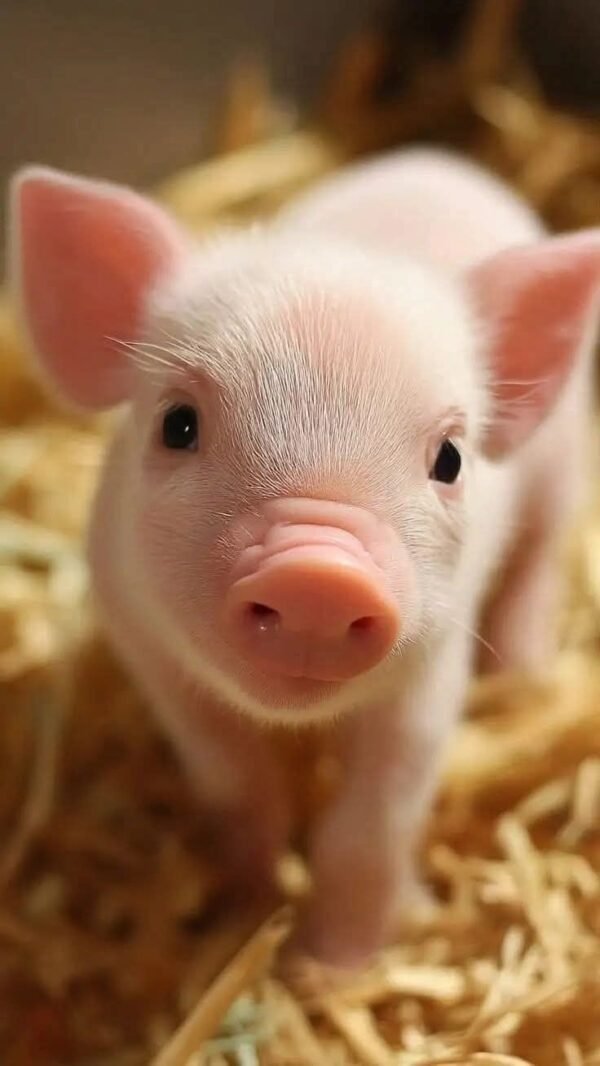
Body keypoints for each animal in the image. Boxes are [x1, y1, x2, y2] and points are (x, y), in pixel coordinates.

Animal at [9, 148, 599, 970]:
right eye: (178, 423)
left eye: (449, 458)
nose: (319, 574)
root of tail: (442, 160)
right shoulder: (151, 652)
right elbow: (237, 786)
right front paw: (246, 918)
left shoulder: (431, 674)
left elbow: (369, 825)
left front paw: (333, 970)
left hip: (566, 462)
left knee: (540, 557)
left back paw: (524, 684)